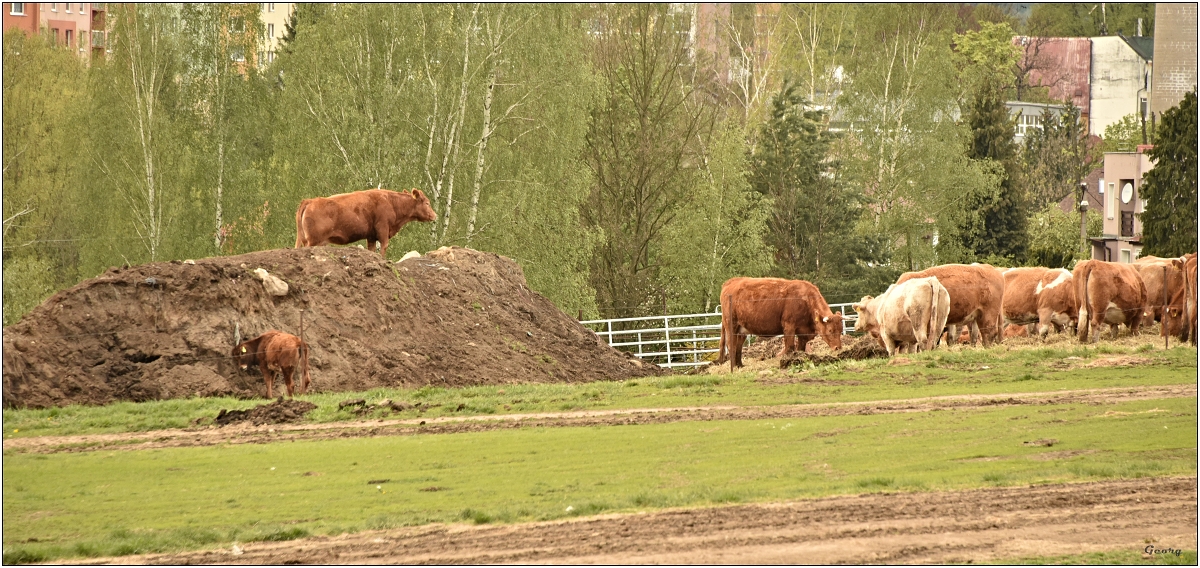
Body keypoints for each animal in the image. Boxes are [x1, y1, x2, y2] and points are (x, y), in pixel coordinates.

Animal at [294, 188, 436, 256]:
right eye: (427, 203)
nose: (435, 215)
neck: (391, 202)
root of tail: (310, 201)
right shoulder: (383, 229)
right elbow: (384, 247)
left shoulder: (371, 236)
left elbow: (372, 249)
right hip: (313, 241)